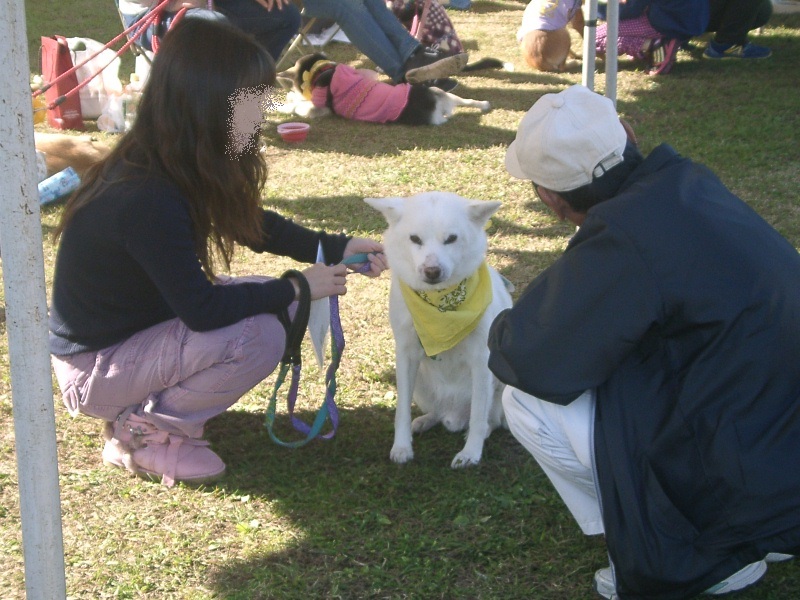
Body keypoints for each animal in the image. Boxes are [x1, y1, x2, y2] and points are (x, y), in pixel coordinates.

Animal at [276, 52, 488, 125]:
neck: (323, 70)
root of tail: (434, 105)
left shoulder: (320, 107)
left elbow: (300, 106)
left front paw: (289, 102)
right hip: (441, 94)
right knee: (467, 101)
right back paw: (484, 104)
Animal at [368, 192, 516, 468]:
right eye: (415, 239)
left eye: (451, 239)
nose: (432, 271)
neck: (440, 306)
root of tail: (454, 416)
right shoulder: (405, 354)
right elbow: (401, 411)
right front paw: (401, 446)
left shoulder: (482, 358)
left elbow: (479, 414)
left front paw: (471, 452)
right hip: (419, 383)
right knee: (435, 411)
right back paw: (425, 421)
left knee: (489, 419)